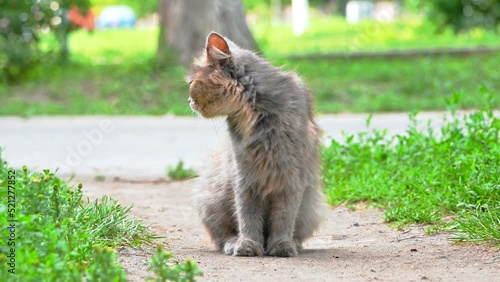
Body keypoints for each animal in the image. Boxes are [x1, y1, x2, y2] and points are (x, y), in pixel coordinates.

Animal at [187, 32, 324, 256]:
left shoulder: (291, 179)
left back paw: (292, 244)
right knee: (221, 235)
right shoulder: (245, 178)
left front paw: (281, 246)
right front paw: (248, 246)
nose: (188, 101)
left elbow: (284, 218)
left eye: (191, 82)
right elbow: (247, 216)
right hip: (211, 199)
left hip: (312, 207)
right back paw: (233, 243)